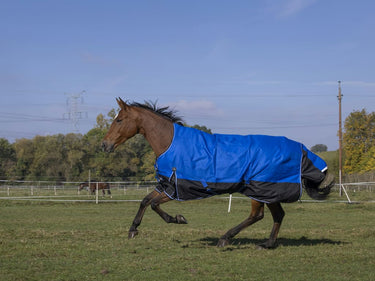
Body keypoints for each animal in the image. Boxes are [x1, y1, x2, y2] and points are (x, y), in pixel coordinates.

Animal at [102, 98, 334, 247]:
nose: (105, 145)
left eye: (119, 120)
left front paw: (178, 218)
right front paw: (133, 230)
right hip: (268, 192)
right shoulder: (166, 185)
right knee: (278, 215)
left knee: (257, 215)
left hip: (259, 189)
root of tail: (301, 149)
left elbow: (153, 204)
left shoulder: (176, 188)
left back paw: (225, 238)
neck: (170, 142)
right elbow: (144, 201)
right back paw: (267, 244)